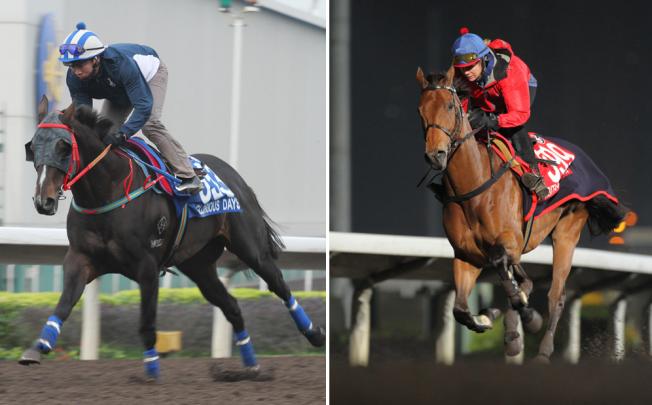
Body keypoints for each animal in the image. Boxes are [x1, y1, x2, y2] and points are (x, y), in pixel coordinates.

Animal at [19, 96, 324, 378]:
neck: (108, 192)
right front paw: (37, 347)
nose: (43, 201)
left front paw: (152, 370)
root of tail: (235, 176)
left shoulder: (146, 266)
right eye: (32, 147)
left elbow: (147, 322)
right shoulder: (80, 259)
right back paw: (250, 366)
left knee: (279, 286)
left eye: (63, 147)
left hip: (250, 247)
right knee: (232, 306)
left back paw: (314, 333)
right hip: (199, 265)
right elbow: (63, 305)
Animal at [418, 67, 628, 362]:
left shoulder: (510, 242)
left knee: (556, 295)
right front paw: (488, 318)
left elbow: (509, 276)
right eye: (420, 110)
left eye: (450, 105)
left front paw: (527, 318)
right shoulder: (466, 255)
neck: (473, 186)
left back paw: (542, 350)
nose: (435, 155)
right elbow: (461, 310)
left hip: (567, 231)